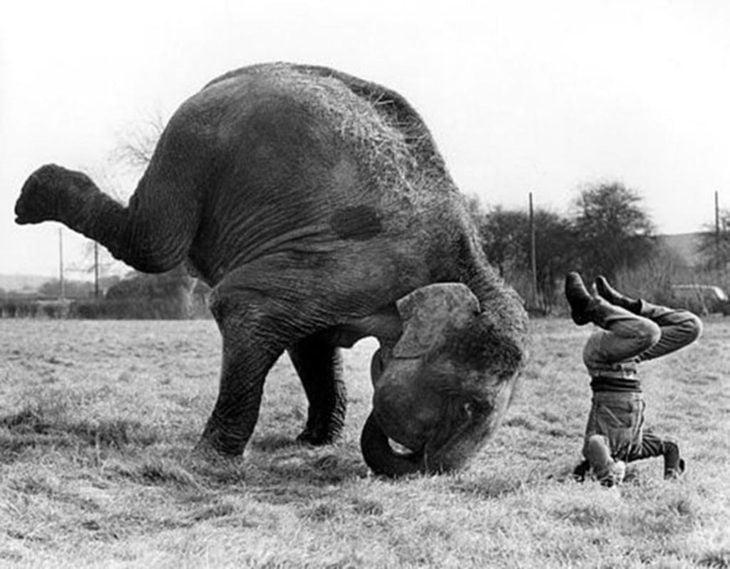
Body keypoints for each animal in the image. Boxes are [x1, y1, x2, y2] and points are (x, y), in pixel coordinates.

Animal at [14, 62, 528, 474]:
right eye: (470, 407)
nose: (417, 463)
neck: (471, 265)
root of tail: (226, 78)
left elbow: (312, 341)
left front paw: (314, 441)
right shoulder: (357, 267)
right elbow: (243, 308)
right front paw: (209, 462)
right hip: (192, 143)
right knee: (153, 244)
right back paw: (32, 196)